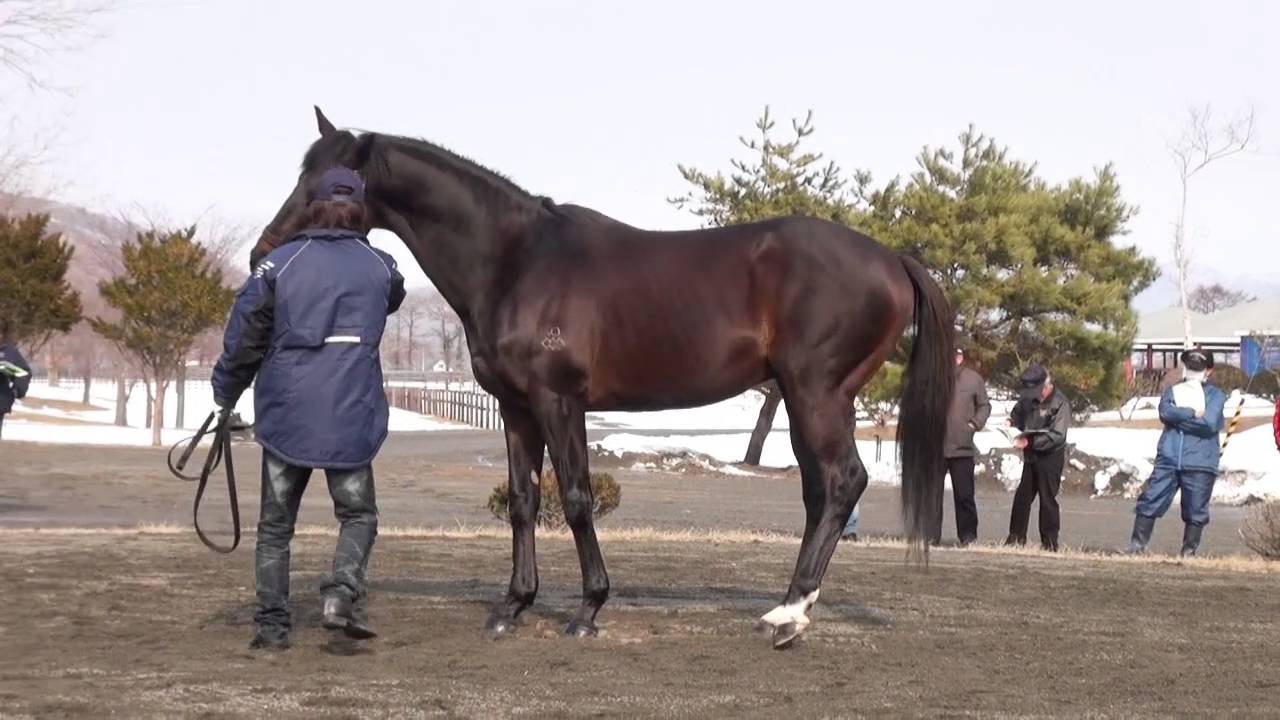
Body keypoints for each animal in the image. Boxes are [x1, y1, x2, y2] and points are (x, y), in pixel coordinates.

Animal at [252, 107, 955, 649]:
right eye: (303, 174)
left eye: (336, 184)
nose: (264, 250)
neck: (516, 260)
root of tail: (891, 258)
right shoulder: (516, 408)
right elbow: (523, 500)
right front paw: (513, 605)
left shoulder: (559, 400)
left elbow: (576, 498)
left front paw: (588, 609)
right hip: (812, 399)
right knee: (820, 493)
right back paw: (787, 609)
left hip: (817, 393)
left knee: (842, 483)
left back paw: (788, 616)